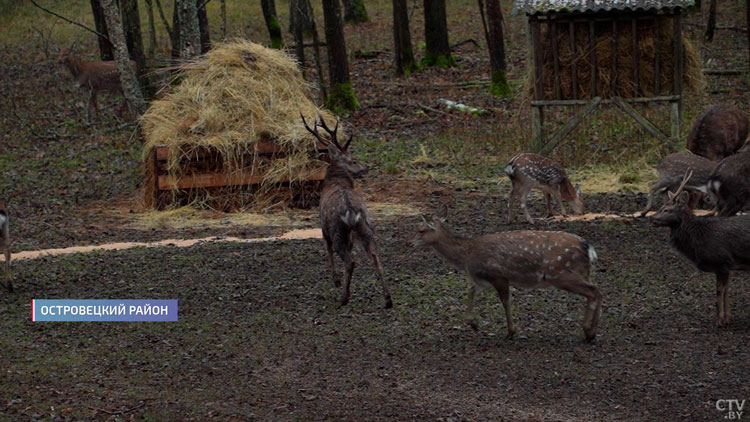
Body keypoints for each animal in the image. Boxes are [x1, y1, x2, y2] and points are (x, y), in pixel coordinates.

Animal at [302, 113, 394, 308]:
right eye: (354, 160)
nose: (366, 168)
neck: (335, 181)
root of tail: (352, 211)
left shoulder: (323, 227)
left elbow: (328, 251)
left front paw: (335, 280)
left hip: (338, 230)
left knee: (350, 261)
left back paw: (344, 298)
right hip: (366, 228)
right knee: (375, 257)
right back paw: (388, 299)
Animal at [648, 171, 750, 326]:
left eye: (667, 209)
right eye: (661, 207)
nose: (652, 219)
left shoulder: (721, 261)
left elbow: (720, 290)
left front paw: (720, 320)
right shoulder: (728, 266)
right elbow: (727, 290)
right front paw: (728, 317)